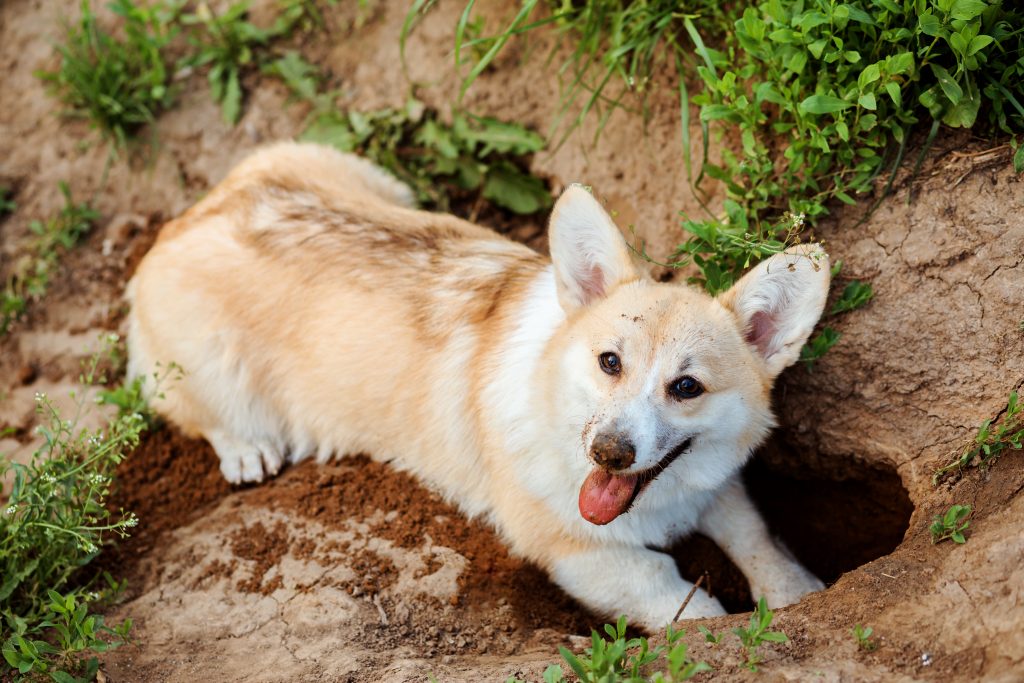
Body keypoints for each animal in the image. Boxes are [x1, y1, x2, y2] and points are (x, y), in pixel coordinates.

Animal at [128, 143, 831, 630]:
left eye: (686, 387)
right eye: (609, 362)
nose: (608, 453)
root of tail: (183, 221)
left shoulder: (717, 487)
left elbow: (759, 538)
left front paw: (801, 596)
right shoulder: (583, 555)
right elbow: (688, 605)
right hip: (208, 368)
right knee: (196, 410)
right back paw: (247, 449)